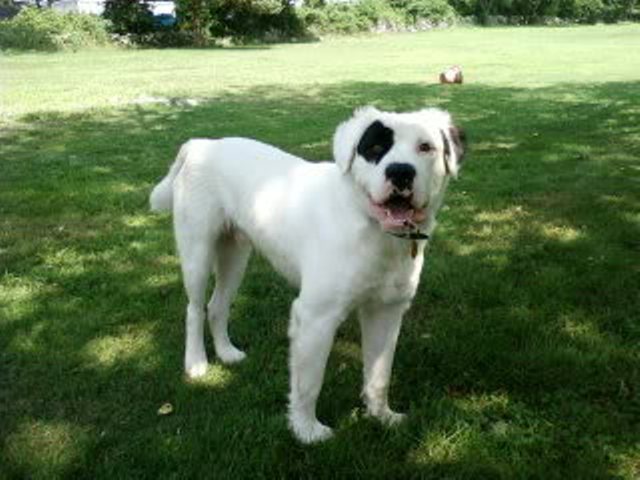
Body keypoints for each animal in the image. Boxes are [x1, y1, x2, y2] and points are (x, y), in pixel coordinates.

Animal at [152, 105, 468, 442]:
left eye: (425, 147)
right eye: (375, 148)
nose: (400, 172)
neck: (368, 225)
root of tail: (202, 144)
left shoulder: (386, 311)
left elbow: (380, 374)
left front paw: (382, 416)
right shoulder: (316, 317)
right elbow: (309, 383)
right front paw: (307, 431)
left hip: (235, 255)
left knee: (217, 306)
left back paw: (226, 353)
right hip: (197, 251)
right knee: (194, 309)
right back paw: (196, 362)